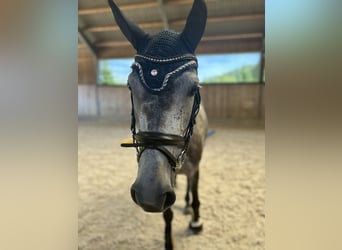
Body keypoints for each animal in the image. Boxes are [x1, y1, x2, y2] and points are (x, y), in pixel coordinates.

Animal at [108, 0, 207, 249]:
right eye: (130, 86)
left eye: (194, 88)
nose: (148, 194)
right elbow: (167, 213)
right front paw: (169, 242)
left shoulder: (195, 169)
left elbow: (196, 191)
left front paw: (196, 221)